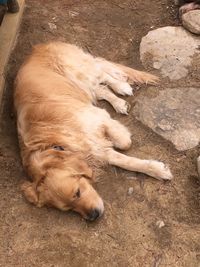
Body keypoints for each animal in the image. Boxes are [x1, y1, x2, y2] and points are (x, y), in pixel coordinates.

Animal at [14, 42, 173, 222]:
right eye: (69, 209)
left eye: (77, 192)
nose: (93, 216)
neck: (56, 143)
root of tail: (40, 46)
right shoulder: (95, 149)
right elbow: (127, 161)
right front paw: (158, 170)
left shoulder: (97, 119)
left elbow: (124, 143)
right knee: (100, 89)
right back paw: (118, 102)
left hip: (78, 72)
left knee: (101, 72)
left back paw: (121, 86)